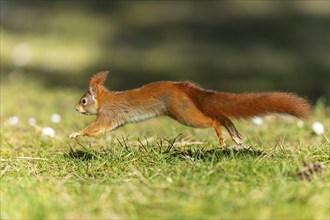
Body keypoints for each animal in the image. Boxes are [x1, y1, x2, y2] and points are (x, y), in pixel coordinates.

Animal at [68, 70, 310, 146]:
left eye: (83, 101)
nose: (76, 109)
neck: (104, 100)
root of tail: (185, 88)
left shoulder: (107, 115)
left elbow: (95, 129)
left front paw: (75, 133)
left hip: (183, 112)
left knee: (213, 119)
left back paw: (222, 137)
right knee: (222, 116)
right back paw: (235, 135)